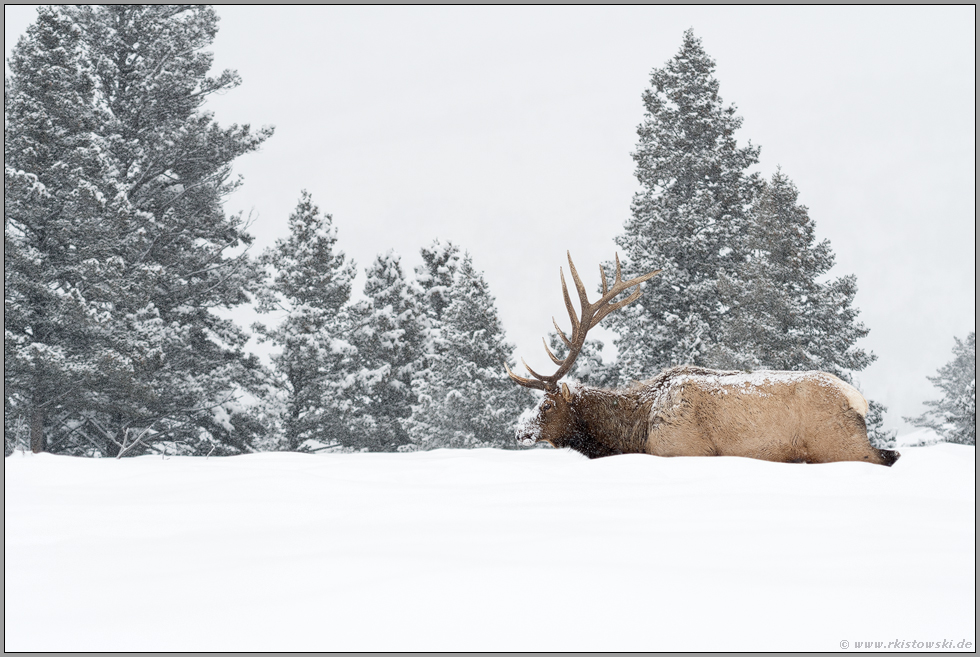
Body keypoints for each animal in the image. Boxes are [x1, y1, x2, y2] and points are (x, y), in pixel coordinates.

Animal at [510, 252, 900, 466]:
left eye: (546, 406)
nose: (518, 431)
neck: (635, 433)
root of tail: (857, 400)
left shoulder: (682, 449)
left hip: (837, 442)